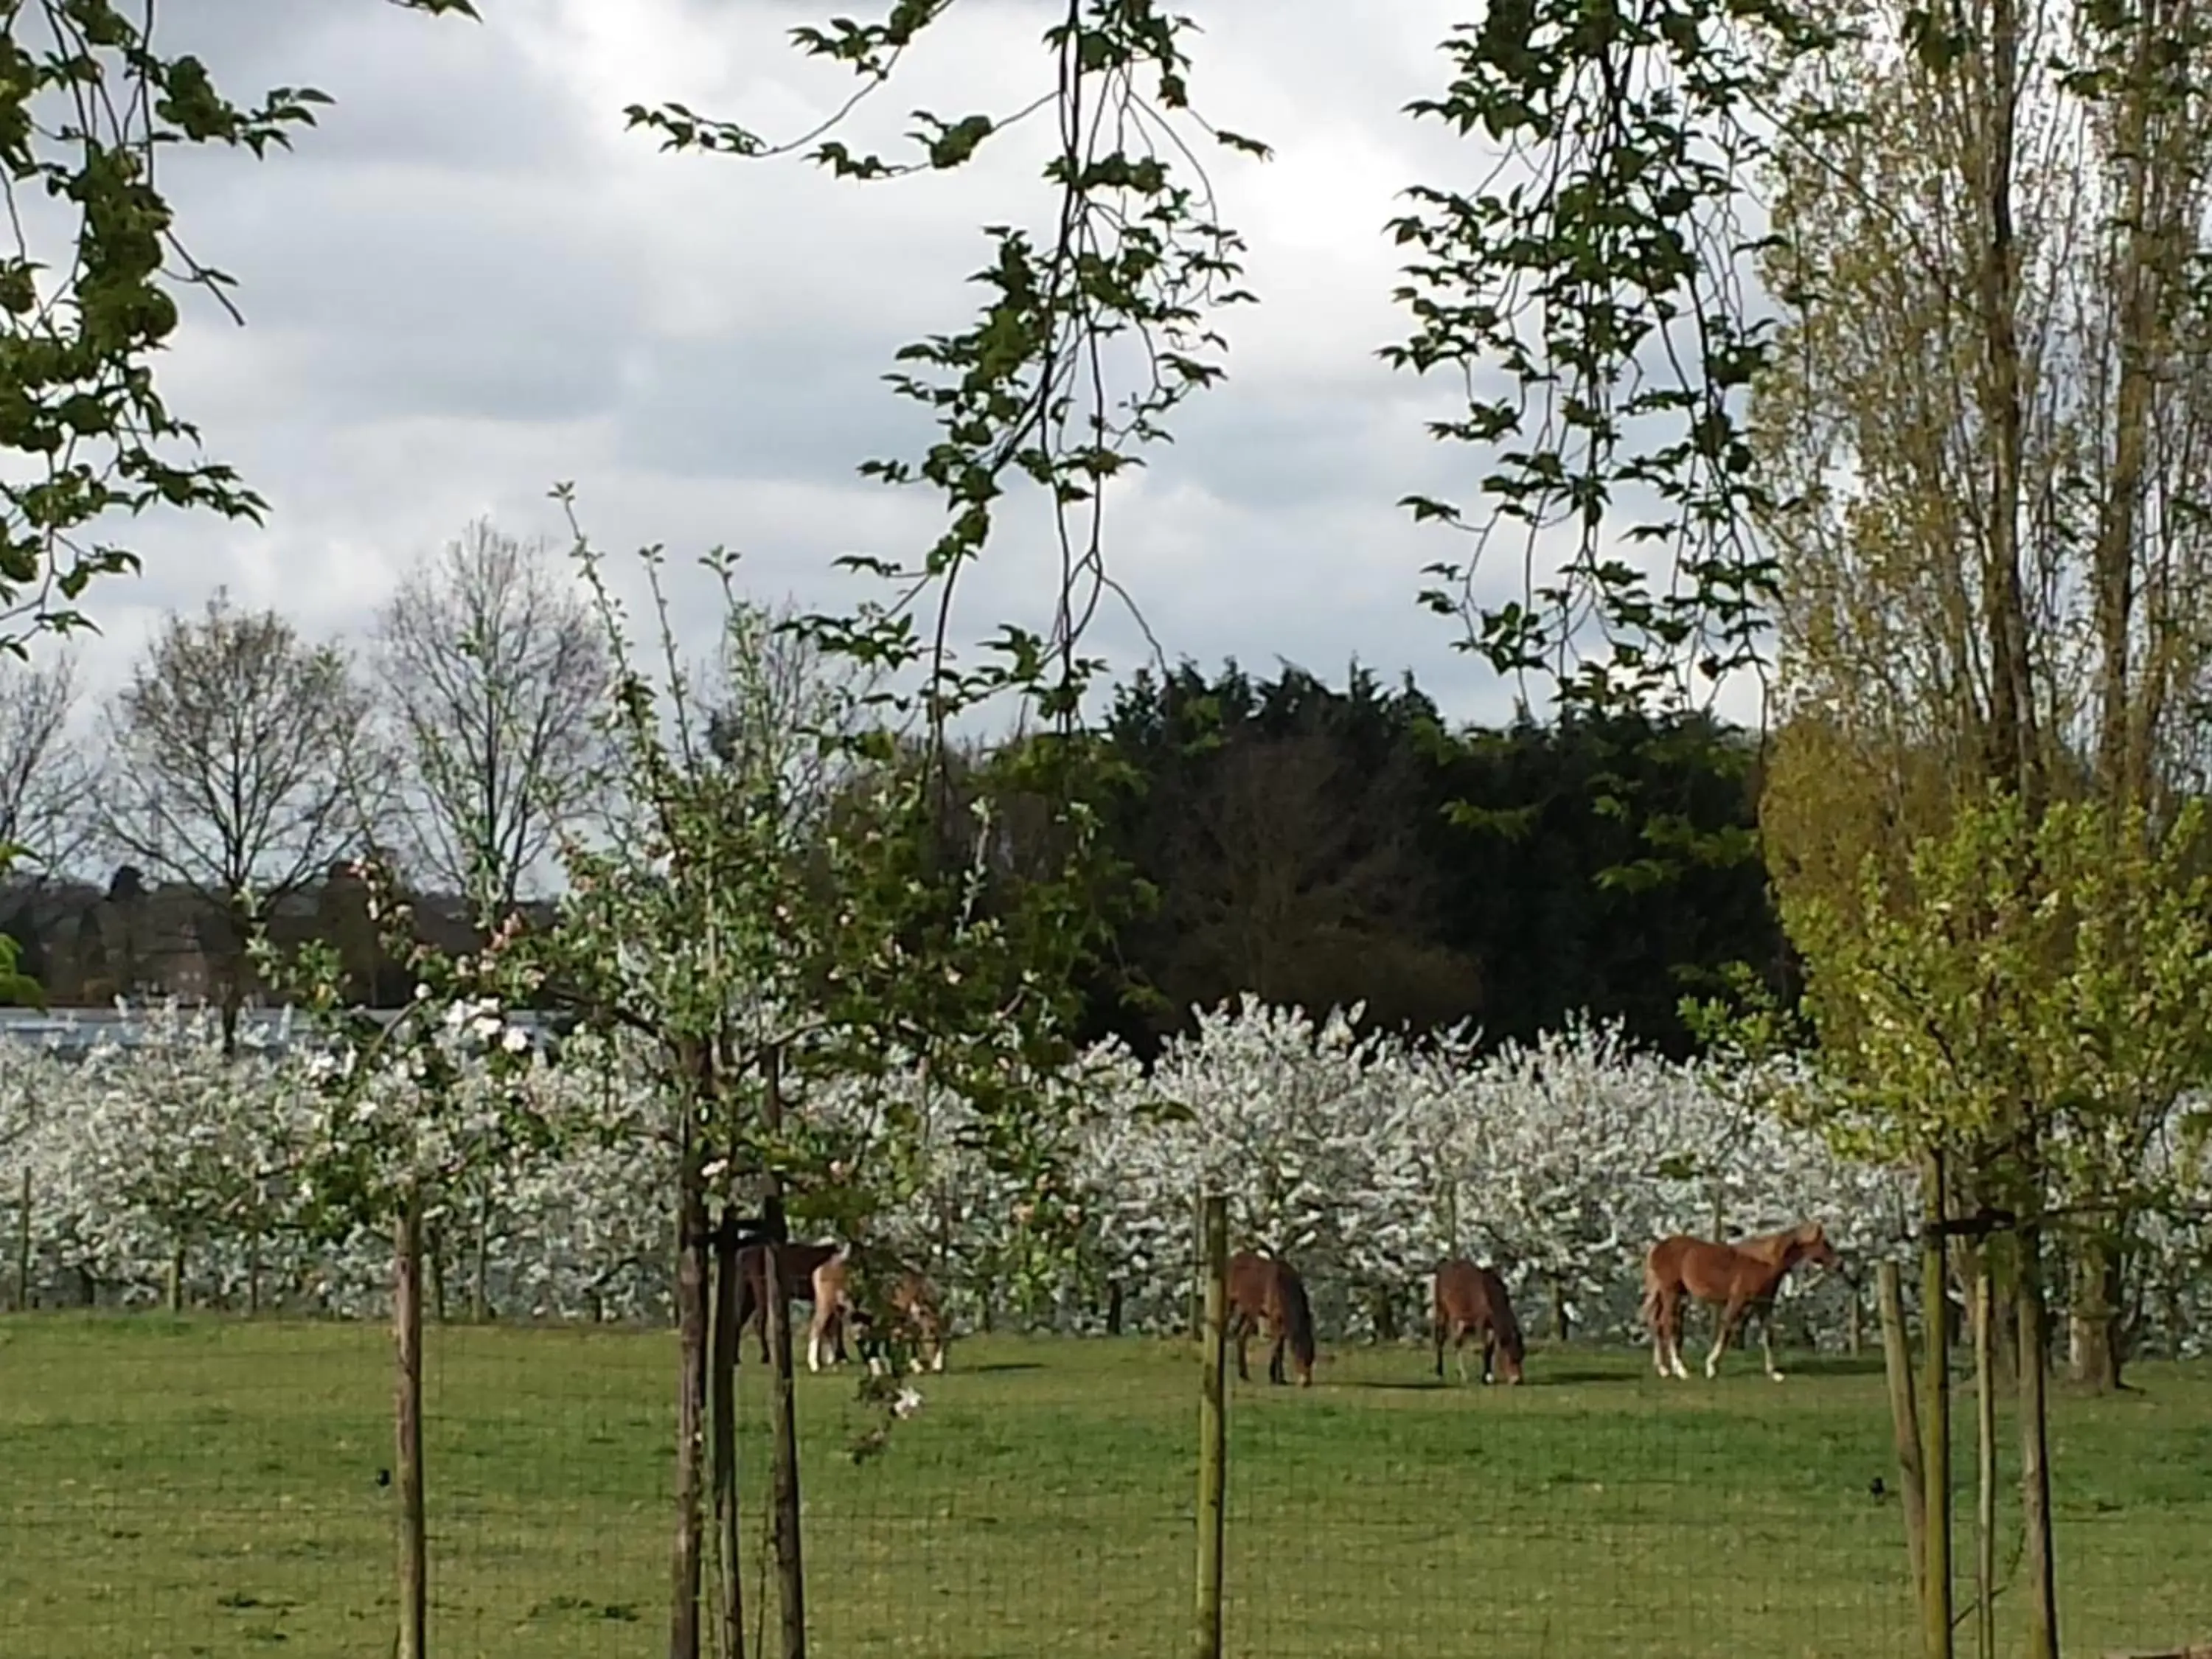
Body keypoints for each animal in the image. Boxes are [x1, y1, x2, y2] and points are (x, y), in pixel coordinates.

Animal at [1230, 1256, 1310, 1389]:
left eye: (1312, 1356)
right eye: (1300, 1355)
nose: (1306, 1382)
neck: (1283, 1286)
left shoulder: (1282, 1323)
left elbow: (1280, 1349)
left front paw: (1281, 1378)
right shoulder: (1274, 1319)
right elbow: (1276, 1347)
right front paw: (1273, 1378)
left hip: (1249, 1312)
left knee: (1241, 1337)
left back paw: (1244, 1375)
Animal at [1425, 1256, 1531, 1389]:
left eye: (1521, 1356)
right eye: (1509, 1357)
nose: (1517, 1380)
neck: (1490, 1293)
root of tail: (1443, 1266)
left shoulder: (1491, 1325)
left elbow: (1490, 1349)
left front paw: (1487, 1376)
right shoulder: (1481, 1322)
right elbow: (1485, 1348)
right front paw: (1486, 1377)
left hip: (1463, 1322)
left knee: (1457, 1343)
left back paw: (1461, 1374)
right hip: (1442, 1311)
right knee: (1441, 1340)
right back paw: (1440, 1373)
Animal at [1637, 1221, 1840, 1389]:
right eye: (1825, 1243)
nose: (1839, 1264)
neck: (1763, 1263)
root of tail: (1657, 1247)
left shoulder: (1763, 1305)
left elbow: (1767, 1336)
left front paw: (1774, 1373)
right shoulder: (1738, 1301)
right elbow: (1727, 1329)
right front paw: (1711, 1367)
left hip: (1667, 1294)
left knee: (1657, 1323)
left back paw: (1663, 1369)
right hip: (1671, 1293)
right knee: (1668, 1323)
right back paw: (1680, 1370)